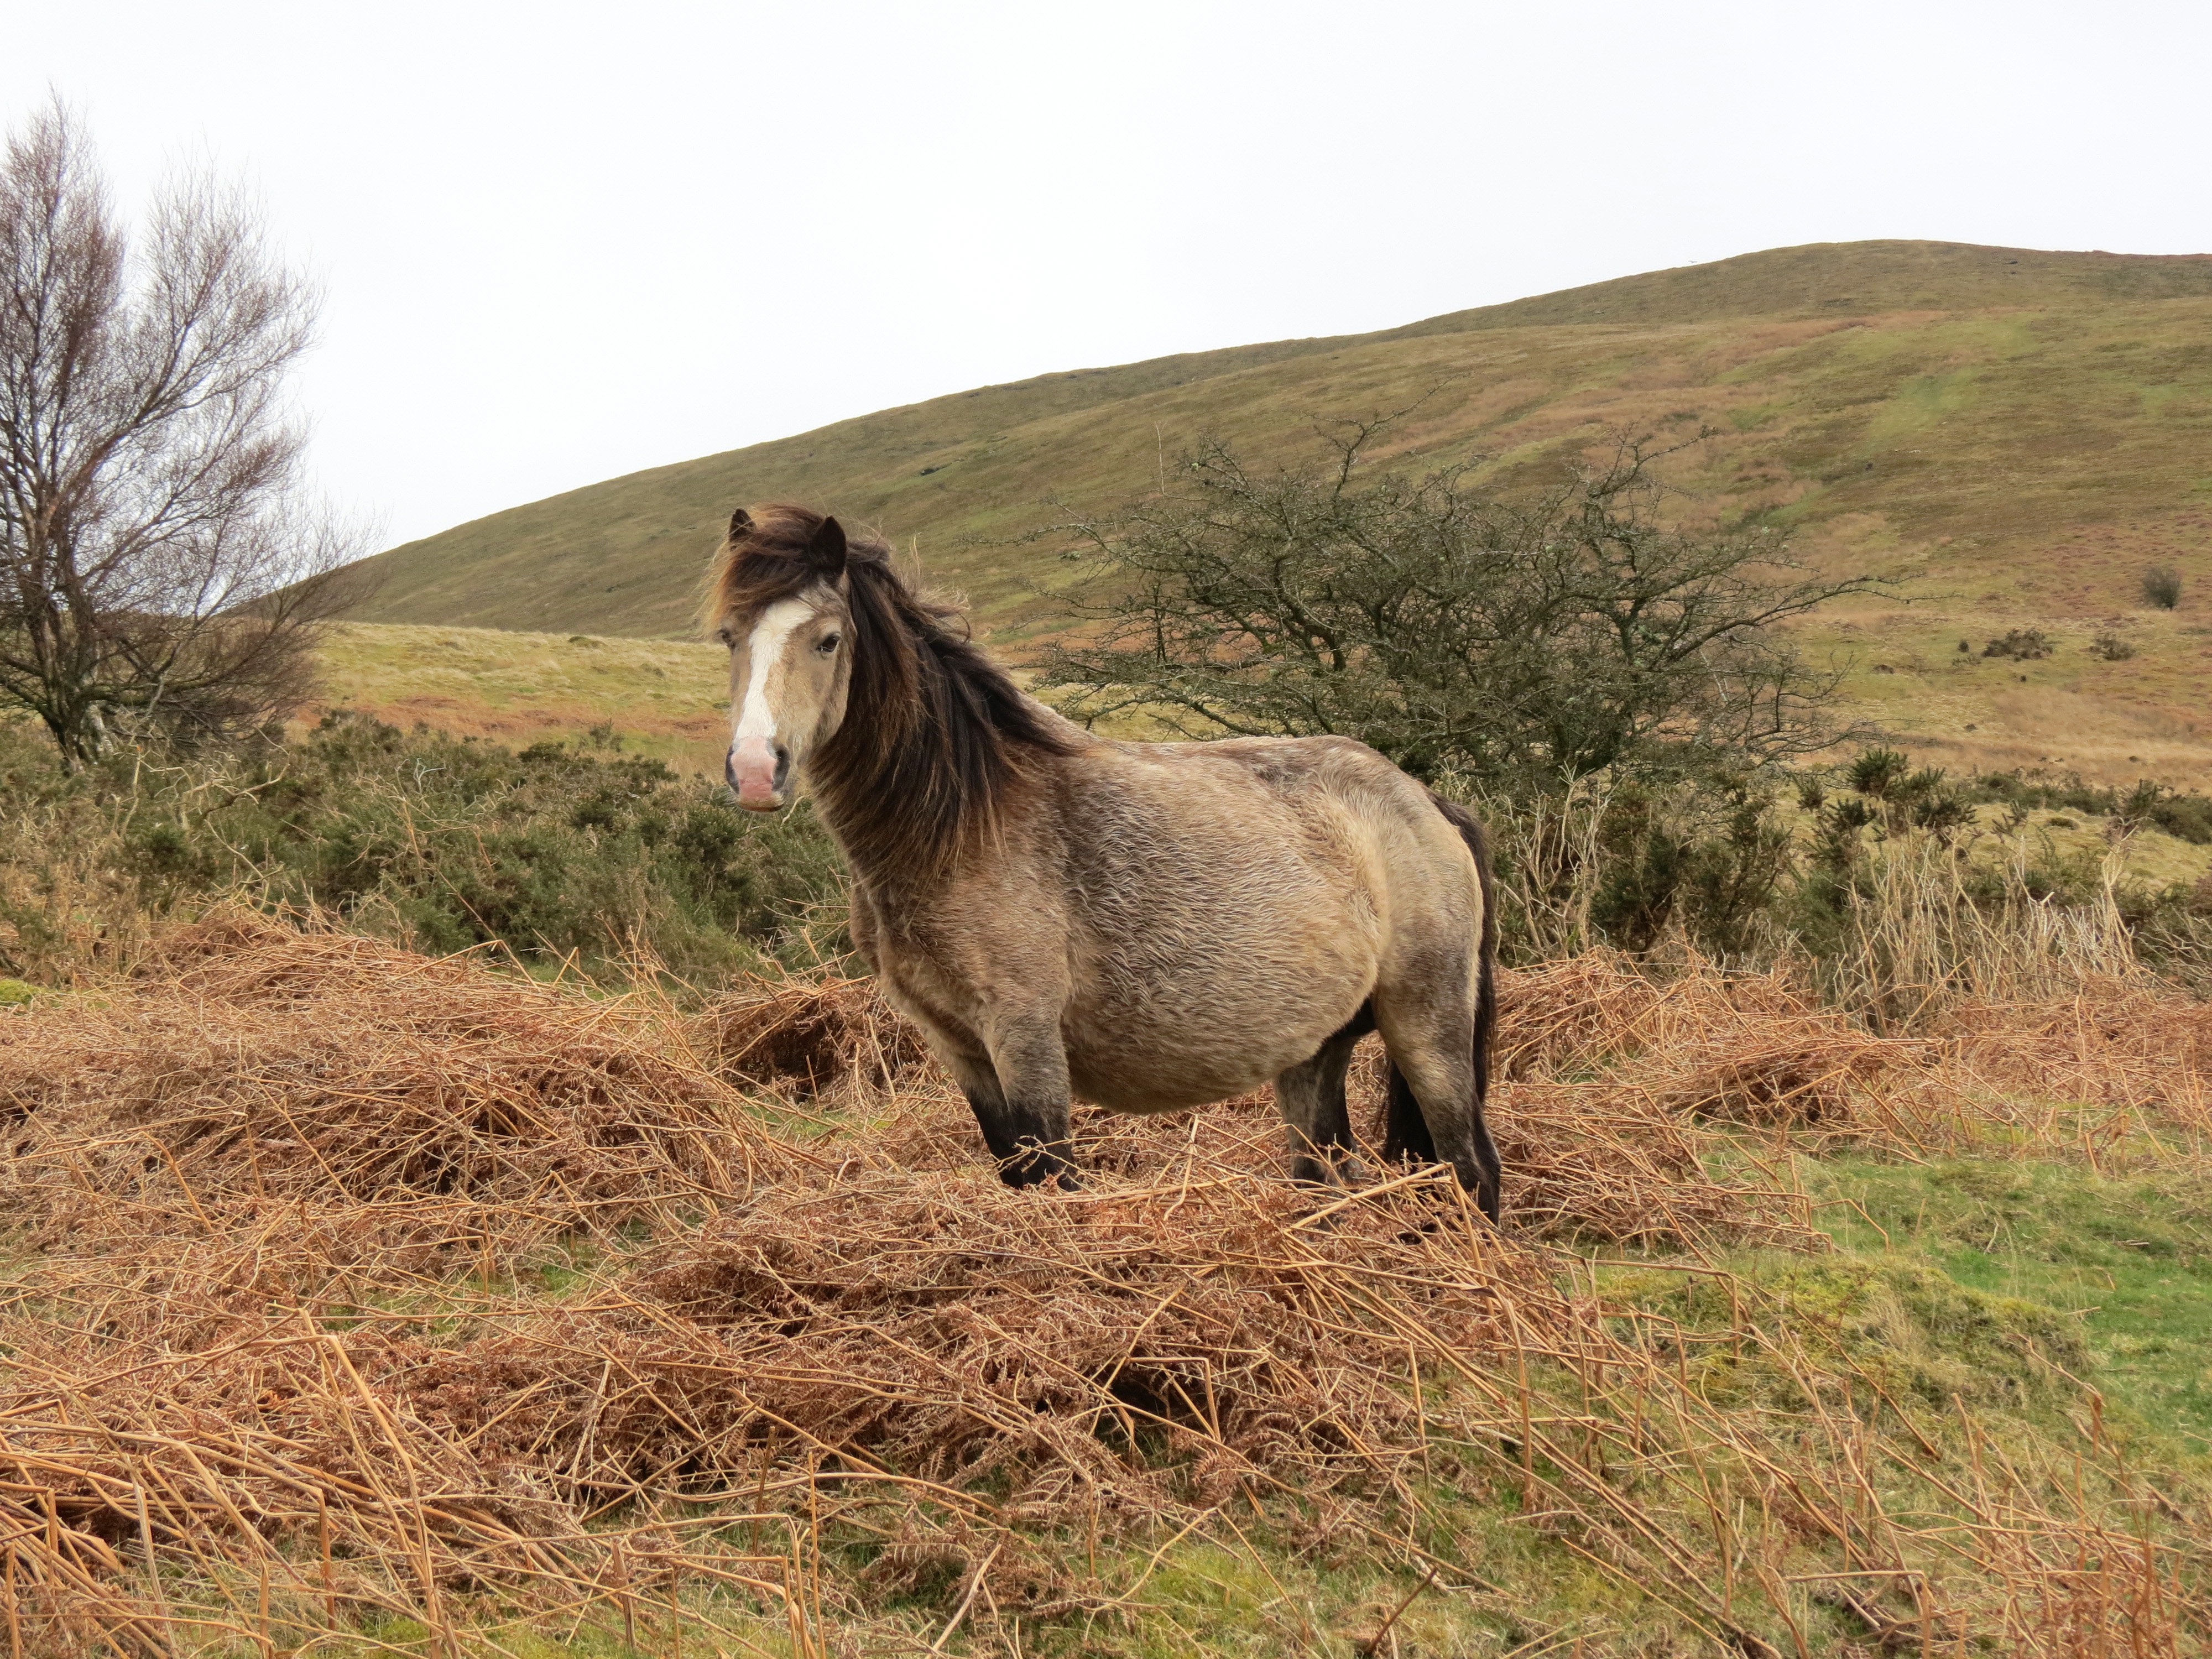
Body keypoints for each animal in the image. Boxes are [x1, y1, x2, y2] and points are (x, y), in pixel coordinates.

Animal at [708, 504, 1504, 1221]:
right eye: (729, 638)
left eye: (827, 640)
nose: (755, 772)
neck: (963, 825)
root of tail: (1425, 801)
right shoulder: (959, 1049)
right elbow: (1018, 1178)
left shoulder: (1025, 1037)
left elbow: (1056, 1183)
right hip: (1314, 1051)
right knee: (1326, 1178)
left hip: (1426, 1026)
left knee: (1472, 1168)